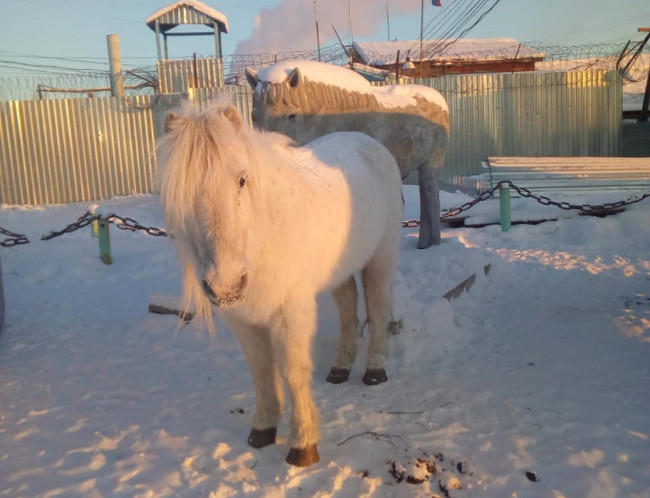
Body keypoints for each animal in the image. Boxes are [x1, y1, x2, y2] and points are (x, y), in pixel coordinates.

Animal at [156, 96, 400, 466]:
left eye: (242, 179)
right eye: (180, 193)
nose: (226, 284)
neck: (261, 237)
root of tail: (369, 142)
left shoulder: (290, 312)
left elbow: (291, 370)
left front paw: (303, 445)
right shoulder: (243, 319)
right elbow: (261, 370)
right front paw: (263, 429)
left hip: (380, 259)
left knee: (378, 304)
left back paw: (375, 370)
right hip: (340, 271)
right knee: (348, 307)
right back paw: (340, 367)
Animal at [246, 61, 448, 248]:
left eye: (291, 115)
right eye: (253, 117)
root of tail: (441, 101)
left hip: (431, 164)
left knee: (432, 199)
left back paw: (435, 244)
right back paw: (423, 245)